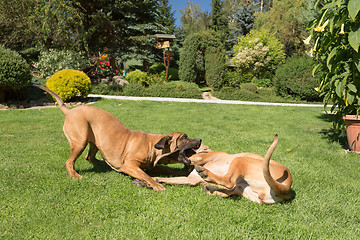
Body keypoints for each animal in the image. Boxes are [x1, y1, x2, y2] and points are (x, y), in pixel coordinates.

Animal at [33, 84, 201, 191]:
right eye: (184, 137)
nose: (200, 140)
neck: (152, 146)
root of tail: (69, 111)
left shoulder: (151, 165)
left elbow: (164, 170)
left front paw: (178, 173)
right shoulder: (130, 166)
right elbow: (145, 175)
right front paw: (155, 184)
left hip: (94, 141)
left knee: (90, 157)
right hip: (79, 141)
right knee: (69, 162)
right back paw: (75, 175)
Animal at [155, 134, 292, 203]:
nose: (199, 139)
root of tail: (286, 187)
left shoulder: (197, 158)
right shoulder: (191, 179)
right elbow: (171, 179)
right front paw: (156, 179)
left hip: (240, 159)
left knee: (228, 181)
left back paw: (206, 175)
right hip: (243, 188)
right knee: (229, 191)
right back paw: (210, 189)